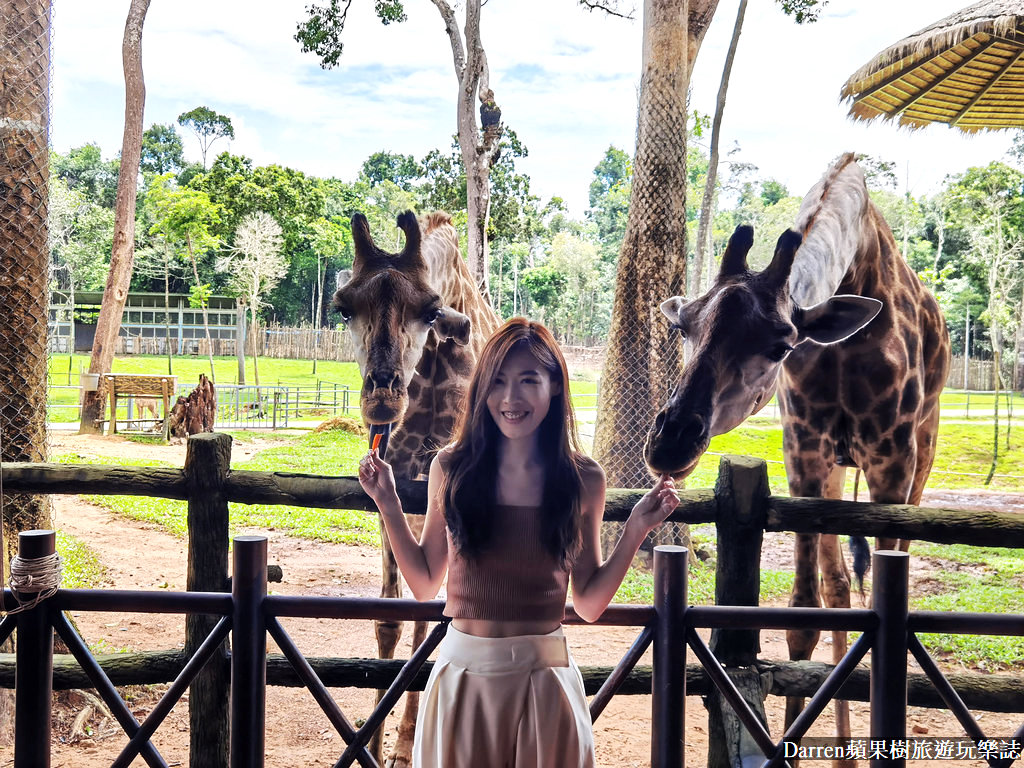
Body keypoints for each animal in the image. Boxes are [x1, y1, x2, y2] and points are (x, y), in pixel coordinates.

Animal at [331, 207, 499, 765]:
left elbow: (433, 619)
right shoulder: (397, 486)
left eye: (429, 312)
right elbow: (390, 620)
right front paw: (373, 743)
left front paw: (404, 748)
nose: (381, 399)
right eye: (344, 309)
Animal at [647, 153, 950, 753]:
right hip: (835, 470)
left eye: (782, 344)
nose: (669, 442)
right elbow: (803, 613)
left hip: (921, 453)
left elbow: (888, 609)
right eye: (684, 325)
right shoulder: (804, 453)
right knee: (838, 588)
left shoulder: (892, 458)